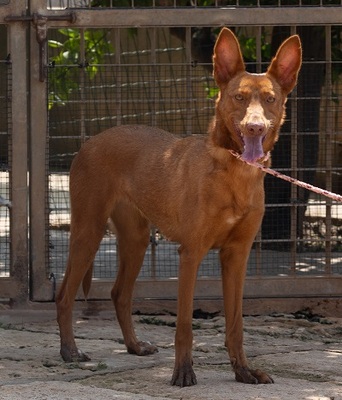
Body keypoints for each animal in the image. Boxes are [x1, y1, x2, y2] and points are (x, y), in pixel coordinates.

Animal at [56, 28, 302, 388]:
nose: (255, 127)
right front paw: (183, 372)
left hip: (136, 240)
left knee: (119, 293)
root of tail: (92, 140)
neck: (234, 174)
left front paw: (243, 371)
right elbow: (185, 324)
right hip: (89, 231)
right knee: (65, 294)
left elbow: (236, 324)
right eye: (239, 97)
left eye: (270, 99)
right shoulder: (191, 253)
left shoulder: (237, 256)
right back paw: (70, 352)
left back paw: (133, 346)